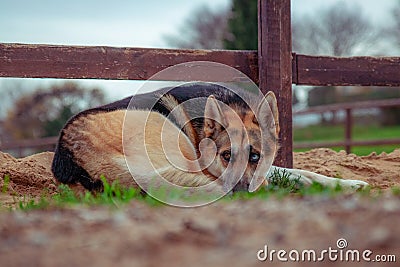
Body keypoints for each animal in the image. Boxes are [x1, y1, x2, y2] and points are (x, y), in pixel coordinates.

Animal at [52, 82, 368, 196]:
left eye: (255, 156)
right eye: (226, 155)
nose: (241, 193)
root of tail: (69, 155)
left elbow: (300, 172)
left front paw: (347, 183)